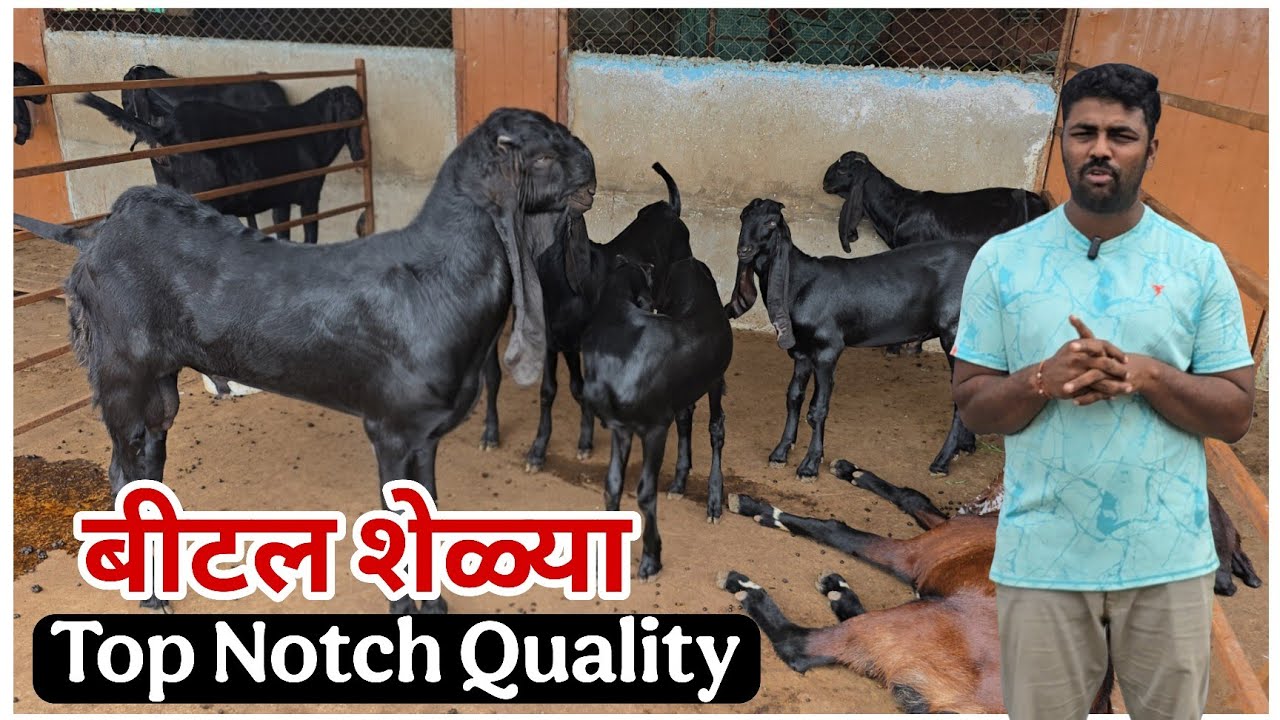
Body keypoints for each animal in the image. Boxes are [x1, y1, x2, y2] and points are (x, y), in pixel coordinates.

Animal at [13, 107, 597, 615]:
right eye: (542, 155)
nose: (591, 172)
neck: (436, 279)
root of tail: (93, 237)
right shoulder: (389, 427)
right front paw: (405, 610)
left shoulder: (426, 433)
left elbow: (425, 510)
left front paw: (433, 606)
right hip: (123, 377)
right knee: (124, 467)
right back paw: (152, 596)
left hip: (157, 384)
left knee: (145, 463)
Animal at [79, 85, 363, 245]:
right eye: (352, 108)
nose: (360, 152)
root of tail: (167, 130)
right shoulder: (311, 195)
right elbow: (311, 236)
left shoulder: (280, 199)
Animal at [719, 459, 1260, 712]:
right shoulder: (941, 531)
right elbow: (913, 497)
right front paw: (853, 472)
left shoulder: (913, 554)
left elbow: (837, 529)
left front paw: (760, 509)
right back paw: (840, 591)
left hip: (923, 617)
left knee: (802, 646)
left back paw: (751, 588)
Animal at [726, 198, 977, 477]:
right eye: (743, 216)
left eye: (771, 222)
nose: (743, 250)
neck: (800, 282)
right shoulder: (802, 351)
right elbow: (793, 398)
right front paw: (780, 452)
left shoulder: (828, 348)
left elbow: (818, 408)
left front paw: (810, 465)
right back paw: (964, 446)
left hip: (955, 331)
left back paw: (942, 461)